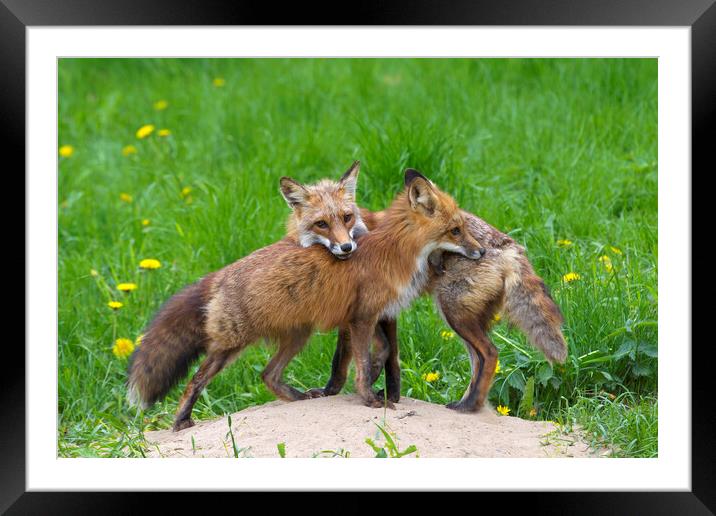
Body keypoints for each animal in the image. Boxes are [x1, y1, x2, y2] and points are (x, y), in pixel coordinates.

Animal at [131, 163, 484, 430]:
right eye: (455, 230)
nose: (481, 251)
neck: (396, 252)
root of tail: (220, 274)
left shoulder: (373, 316)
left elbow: (382, 355)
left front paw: (377, 386)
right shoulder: (362, 318)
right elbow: (366, 359)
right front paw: (370, 397)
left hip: (298, 335)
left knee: (267, 375)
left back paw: (299, 398)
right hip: (229, 348)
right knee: (195, 381)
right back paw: (181, 422)